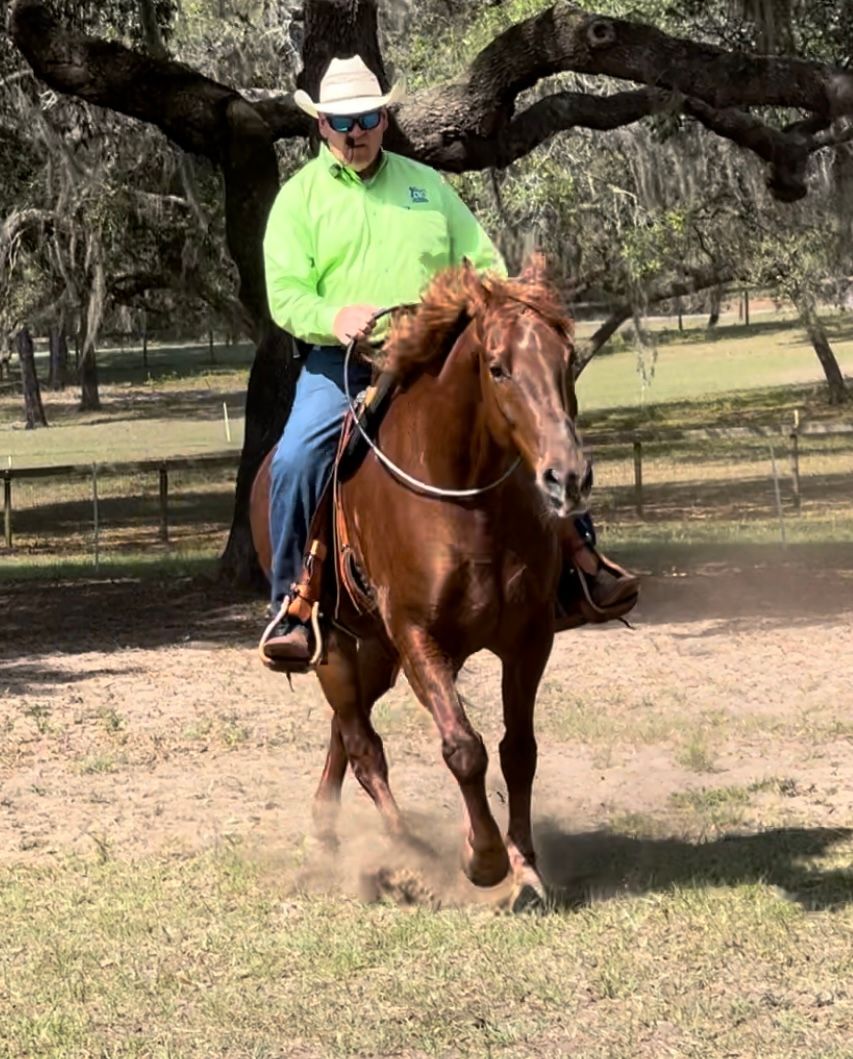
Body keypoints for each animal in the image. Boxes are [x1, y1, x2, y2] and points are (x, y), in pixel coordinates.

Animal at [250, 258, 589, 902]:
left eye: (569, 357)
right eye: (497, 367)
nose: (568, 477)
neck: (466, 504)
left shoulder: (529, 638)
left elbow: (518, 750)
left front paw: (527, 867)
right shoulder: (417, 637)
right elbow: (464, 748)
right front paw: (483, 859)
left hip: (377, 652)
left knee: (345, 731)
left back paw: (325, 835)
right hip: (333, 645)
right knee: (361, 745)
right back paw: (403, 850)